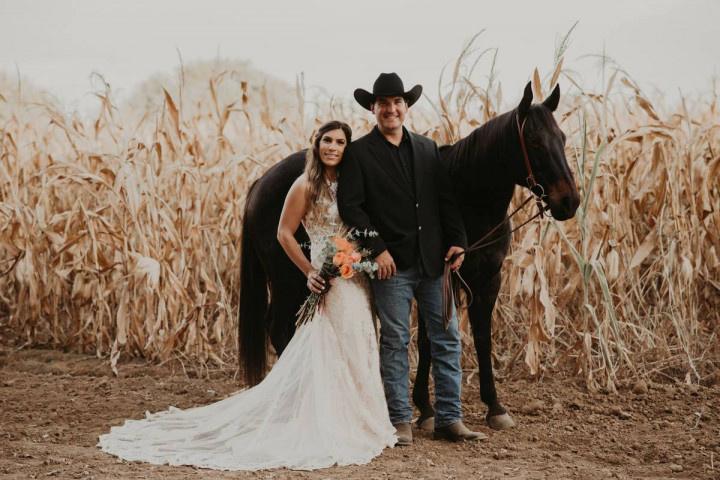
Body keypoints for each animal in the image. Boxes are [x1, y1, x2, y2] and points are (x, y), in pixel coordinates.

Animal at [239, 81, 584, 428]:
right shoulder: (441, 278)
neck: (467, 199)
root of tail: (260, 182)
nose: (569, 201)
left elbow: (479, 338)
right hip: (289, 279)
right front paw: (426, 409)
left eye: (563, 138)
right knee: (279, 327)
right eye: (535, 142)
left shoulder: (486, 280)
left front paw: (493, 407)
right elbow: (429, 340)